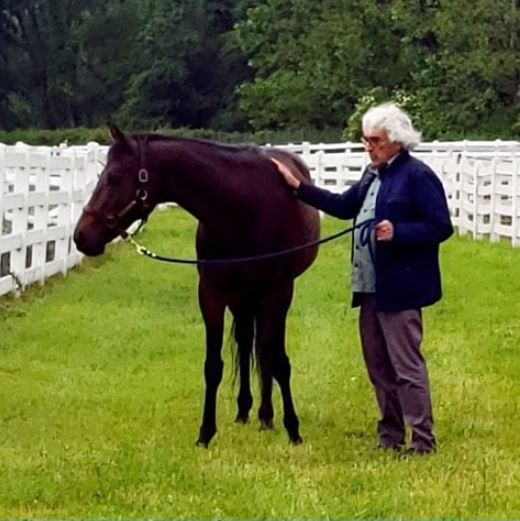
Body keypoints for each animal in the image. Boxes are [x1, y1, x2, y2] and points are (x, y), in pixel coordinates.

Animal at [71, 123, 318, 446]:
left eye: (113, 176)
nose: (81, 236)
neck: (242, 208)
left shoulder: (278, 292)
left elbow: (278, 360)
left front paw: (293, 429)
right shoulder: (212, 294)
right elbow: (213, 366)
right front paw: (206, 433)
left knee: (264, 349)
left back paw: (266, 415)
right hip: (242, 298)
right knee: (246, 343)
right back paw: (246, 410)